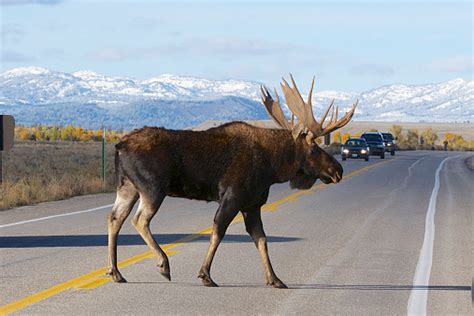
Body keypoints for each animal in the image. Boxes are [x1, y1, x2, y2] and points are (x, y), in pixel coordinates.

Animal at [107, 75, 358, 288]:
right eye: (314, 148)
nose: (338, 170)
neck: (273, 167)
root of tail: (119, 146)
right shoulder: (232, 197)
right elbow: (218, 233)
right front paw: (205, 275)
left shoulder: (252, 205)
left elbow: (261, 240)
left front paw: (275, 278)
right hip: (152, 187)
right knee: (139, 220)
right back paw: (163, 264)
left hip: (127, 188)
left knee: (115, 218)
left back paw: (116, 272)